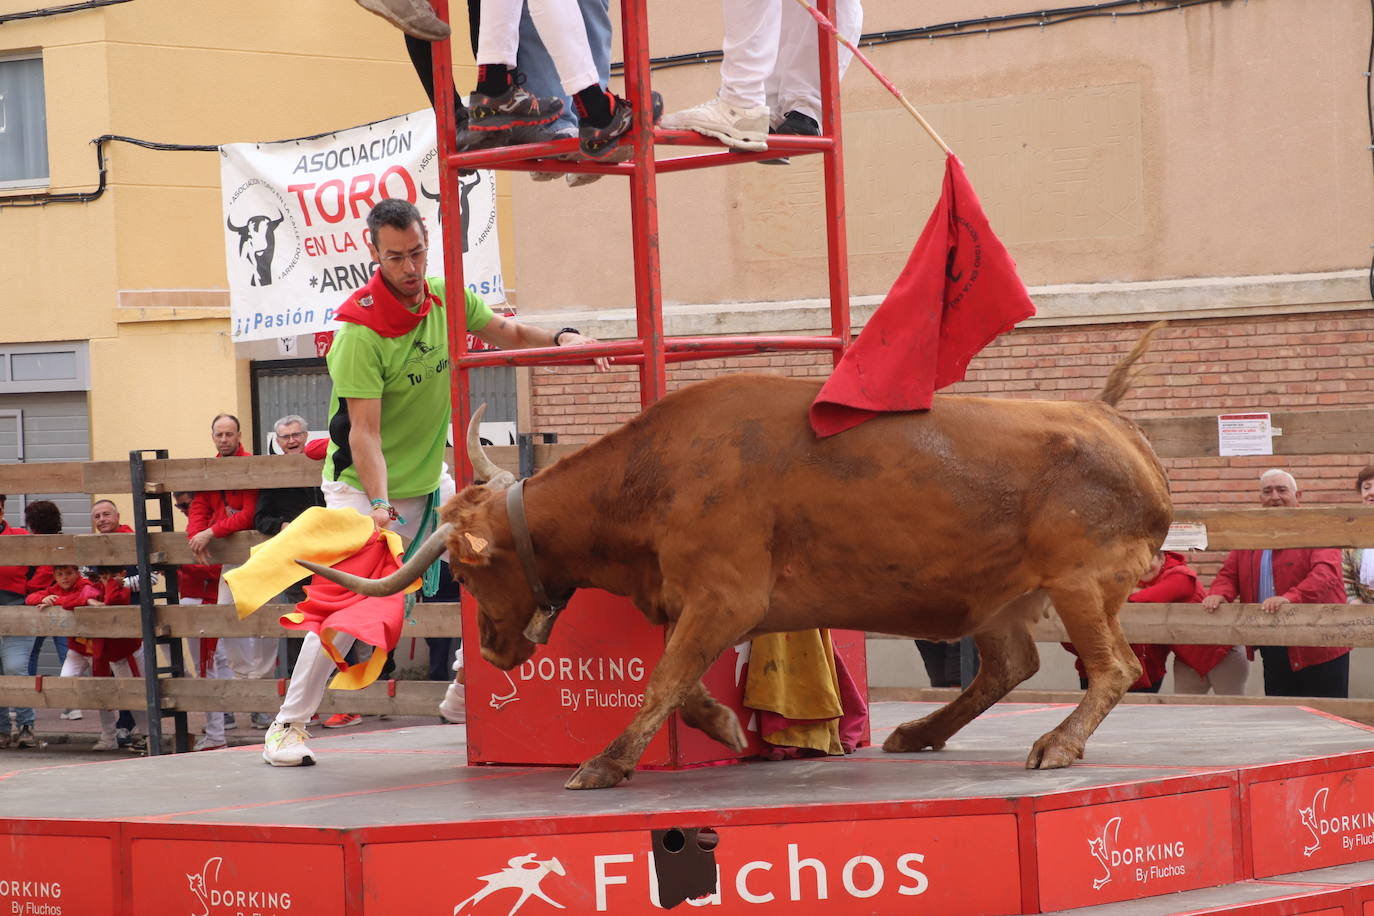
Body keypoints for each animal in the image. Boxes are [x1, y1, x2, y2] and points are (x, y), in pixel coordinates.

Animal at [309, 328, 1170, 791]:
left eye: (469, 571)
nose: (489, 650)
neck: (650, 476)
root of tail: (1111, 422)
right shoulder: (696, 602)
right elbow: (681, 681)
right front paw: (725, 724)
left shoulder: (726, 597)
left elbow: (663, 680)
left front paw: (605, 762)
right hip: (995, 595)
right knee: (1008, 664)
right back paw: (921, 731)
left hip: (1079, 580)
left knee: (1115, 667)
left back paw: (1057, 744)